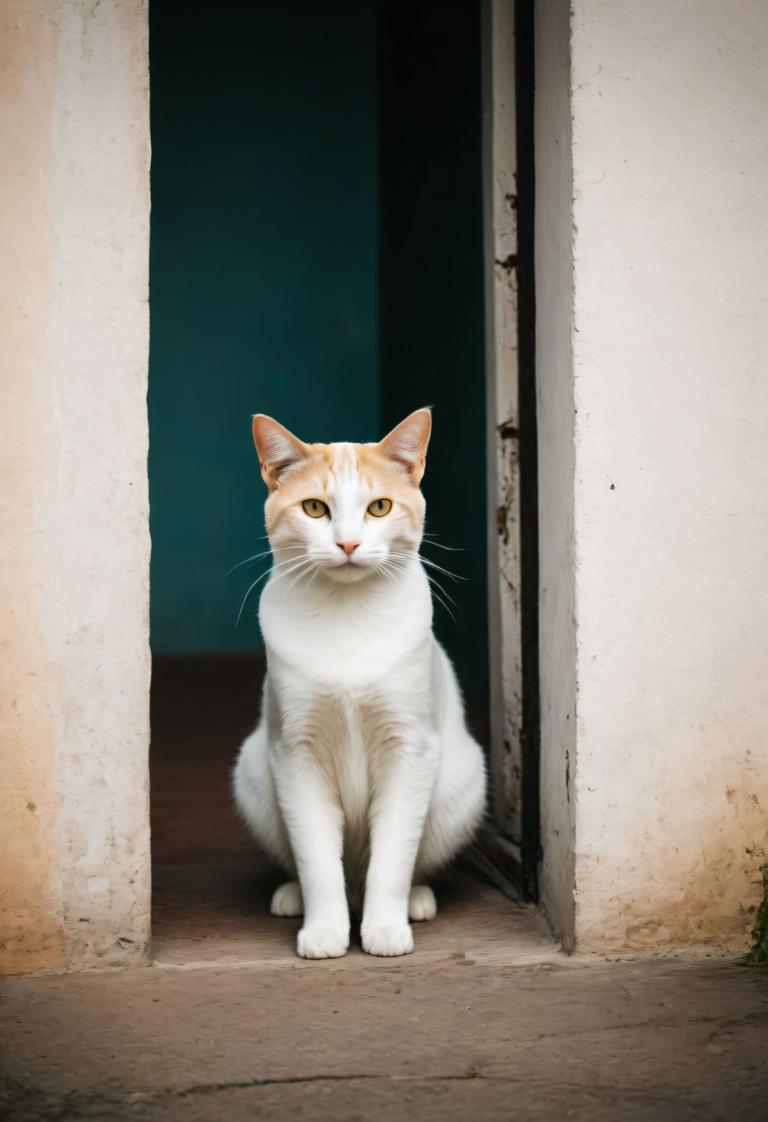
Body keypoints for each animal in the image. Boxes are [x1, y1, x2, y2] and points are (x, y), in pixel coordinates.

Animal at [233, 408, 485, 960]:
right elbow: (316, 860)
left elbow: (393, 856)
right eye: (314, 508)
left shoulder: (410, 749)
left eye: (379, 507)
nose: (347, 543)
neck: (346, 616)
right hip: (254, 774)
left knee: (403, 864)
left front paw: (386, 928)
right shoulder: (295, 752)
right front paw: (324, 931)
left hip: (460, 784)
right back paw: (292, 897)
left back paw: (414, 899)